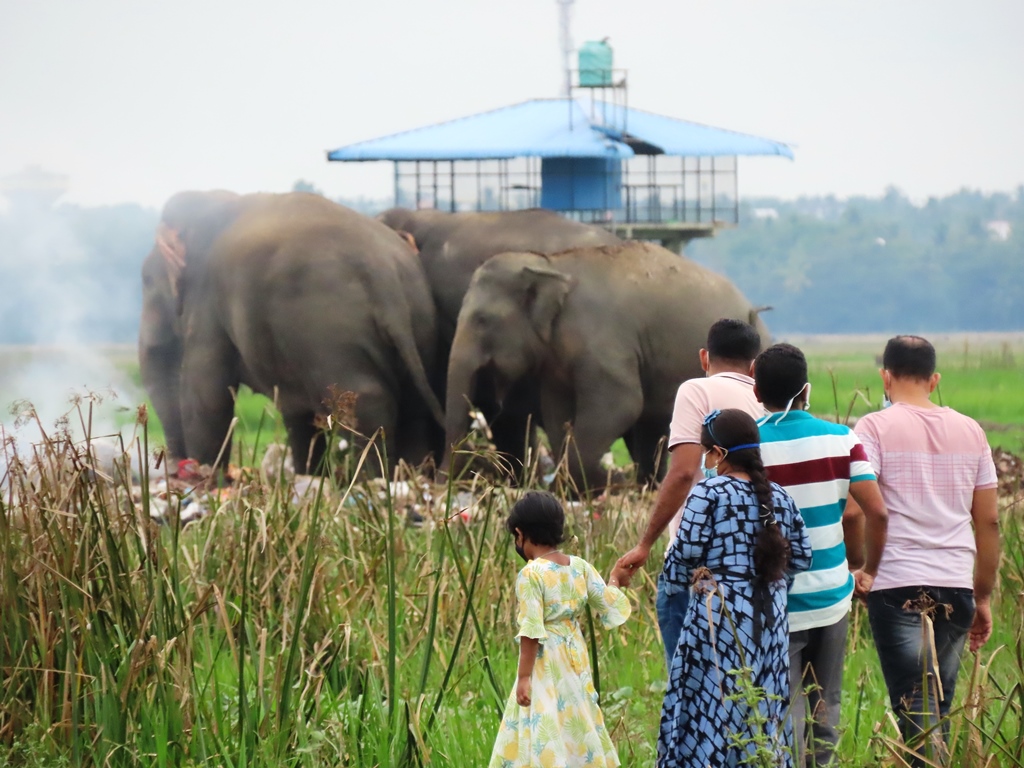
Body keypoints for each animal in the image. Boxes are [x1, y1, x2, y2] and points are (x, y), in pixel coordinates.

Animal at [138, 191, 442, 475]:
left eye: (146, 280)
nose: (175, 466)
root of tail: (384, 277)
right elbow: (296, 412)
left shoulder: (207, 303)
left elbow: (206, 394)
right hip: (418, 324)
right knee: (414, 411)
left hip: (328, 330)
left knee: (363, 403)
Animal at [444, 241, 770, 493]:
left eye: (482, 320)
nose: (452, 478)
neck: (552, 264)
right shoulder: (556, 360)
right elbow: (557, 412)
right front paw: (572, 487)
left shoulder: (602, 339)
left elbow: (621, 405)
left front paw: (601, 483)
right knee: (653, 426)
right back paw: (646, 487)